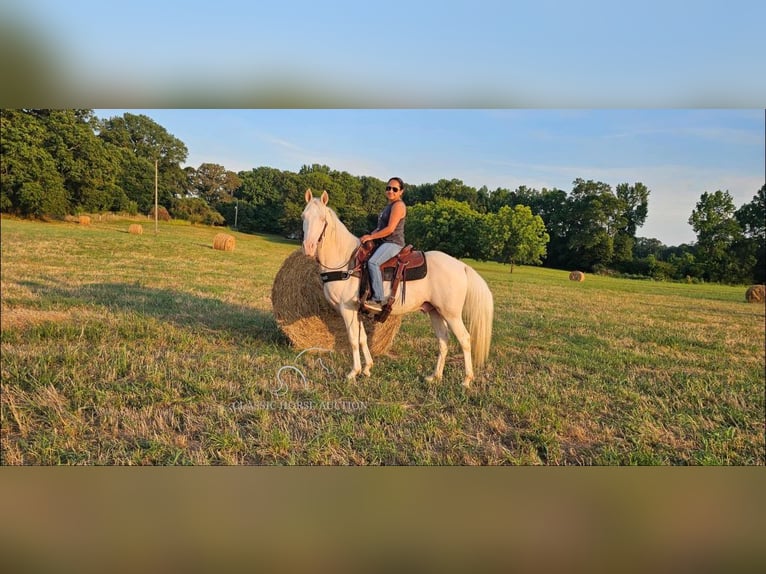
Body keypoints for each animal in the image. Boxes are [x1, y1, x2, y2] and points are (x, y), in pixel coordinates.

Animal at [300, 191, 492, 390]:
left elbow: (353, 339)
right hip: (435, 312)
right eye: (303, 217)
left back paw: (466, 380)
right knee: (443, 341)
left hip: (451, 314)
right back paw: (435, 376)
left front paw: (354, 372)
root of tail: (462, 266)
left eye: (322, 219)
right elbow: (362, 338)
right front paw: (367, 368)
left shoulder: (347, 309)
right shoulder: (357, 310)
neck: (347, 261)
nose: (308, 247)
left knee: (465, 339)